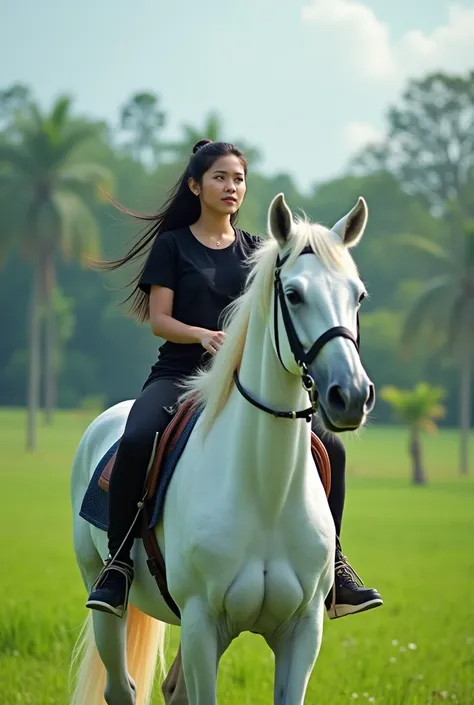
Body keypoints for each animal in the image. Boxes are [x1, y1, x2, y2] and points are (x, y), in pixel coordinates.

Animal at [69, 192, 374, 704]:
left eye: (359, 295)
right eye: (294, 294)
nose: (349, 395)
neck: (266, 493)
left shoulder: (301, 632)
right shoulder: (201, 623)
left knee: (172, 688)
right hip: (102, 597)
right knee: (120, 686)